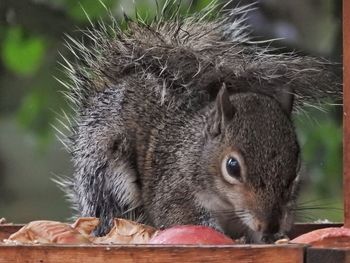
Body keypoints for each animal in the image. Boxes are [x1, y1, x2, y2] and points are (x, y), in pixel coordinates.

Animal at [56, 1, 340, 245]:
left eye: (297, 167)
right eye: (232, 167)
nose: (269, 226)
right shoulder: (175, 192)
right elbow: (181, 217)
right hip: (111, 184)